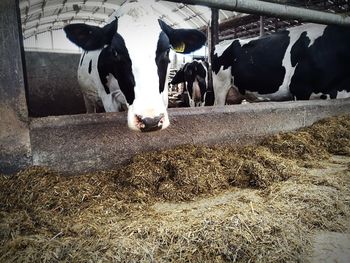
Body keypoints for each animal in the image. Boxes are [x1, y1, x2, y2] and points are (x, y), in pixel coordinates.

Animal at [63, 0, 206, 132]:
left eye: (167, 51)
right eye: (115, 52)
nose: (151, 121)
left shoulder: (163, 95)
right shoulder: (108, 97)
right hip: (87, 96)